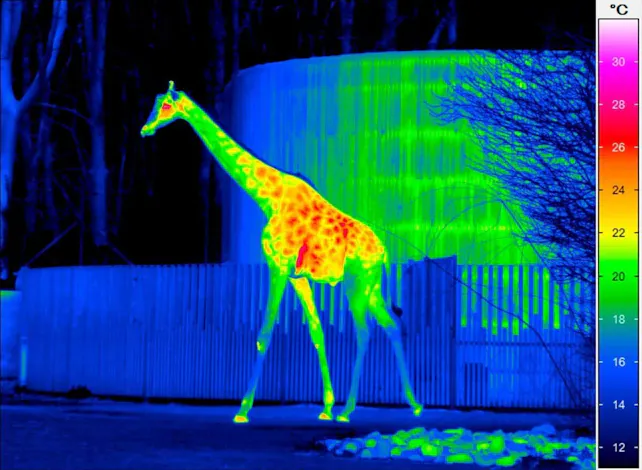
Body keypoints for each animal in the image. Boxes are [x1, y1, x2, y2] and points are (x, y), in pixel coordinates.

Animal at [140, 81, 423, 423]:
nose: (145, 129)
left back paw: (349, 410)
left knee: (365, 331)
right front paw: (326, 406)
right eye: (156, 102)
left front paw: (243, 410)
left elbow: (264, 333)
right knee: (392, 325)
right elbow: (316, 331)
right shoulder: (297, 277)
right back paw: (413, 403)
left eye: (166, 106)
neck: (269, 199)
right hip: (372, 285)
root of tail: (382, 252)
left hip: (356, 283)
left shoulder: (278, 266)